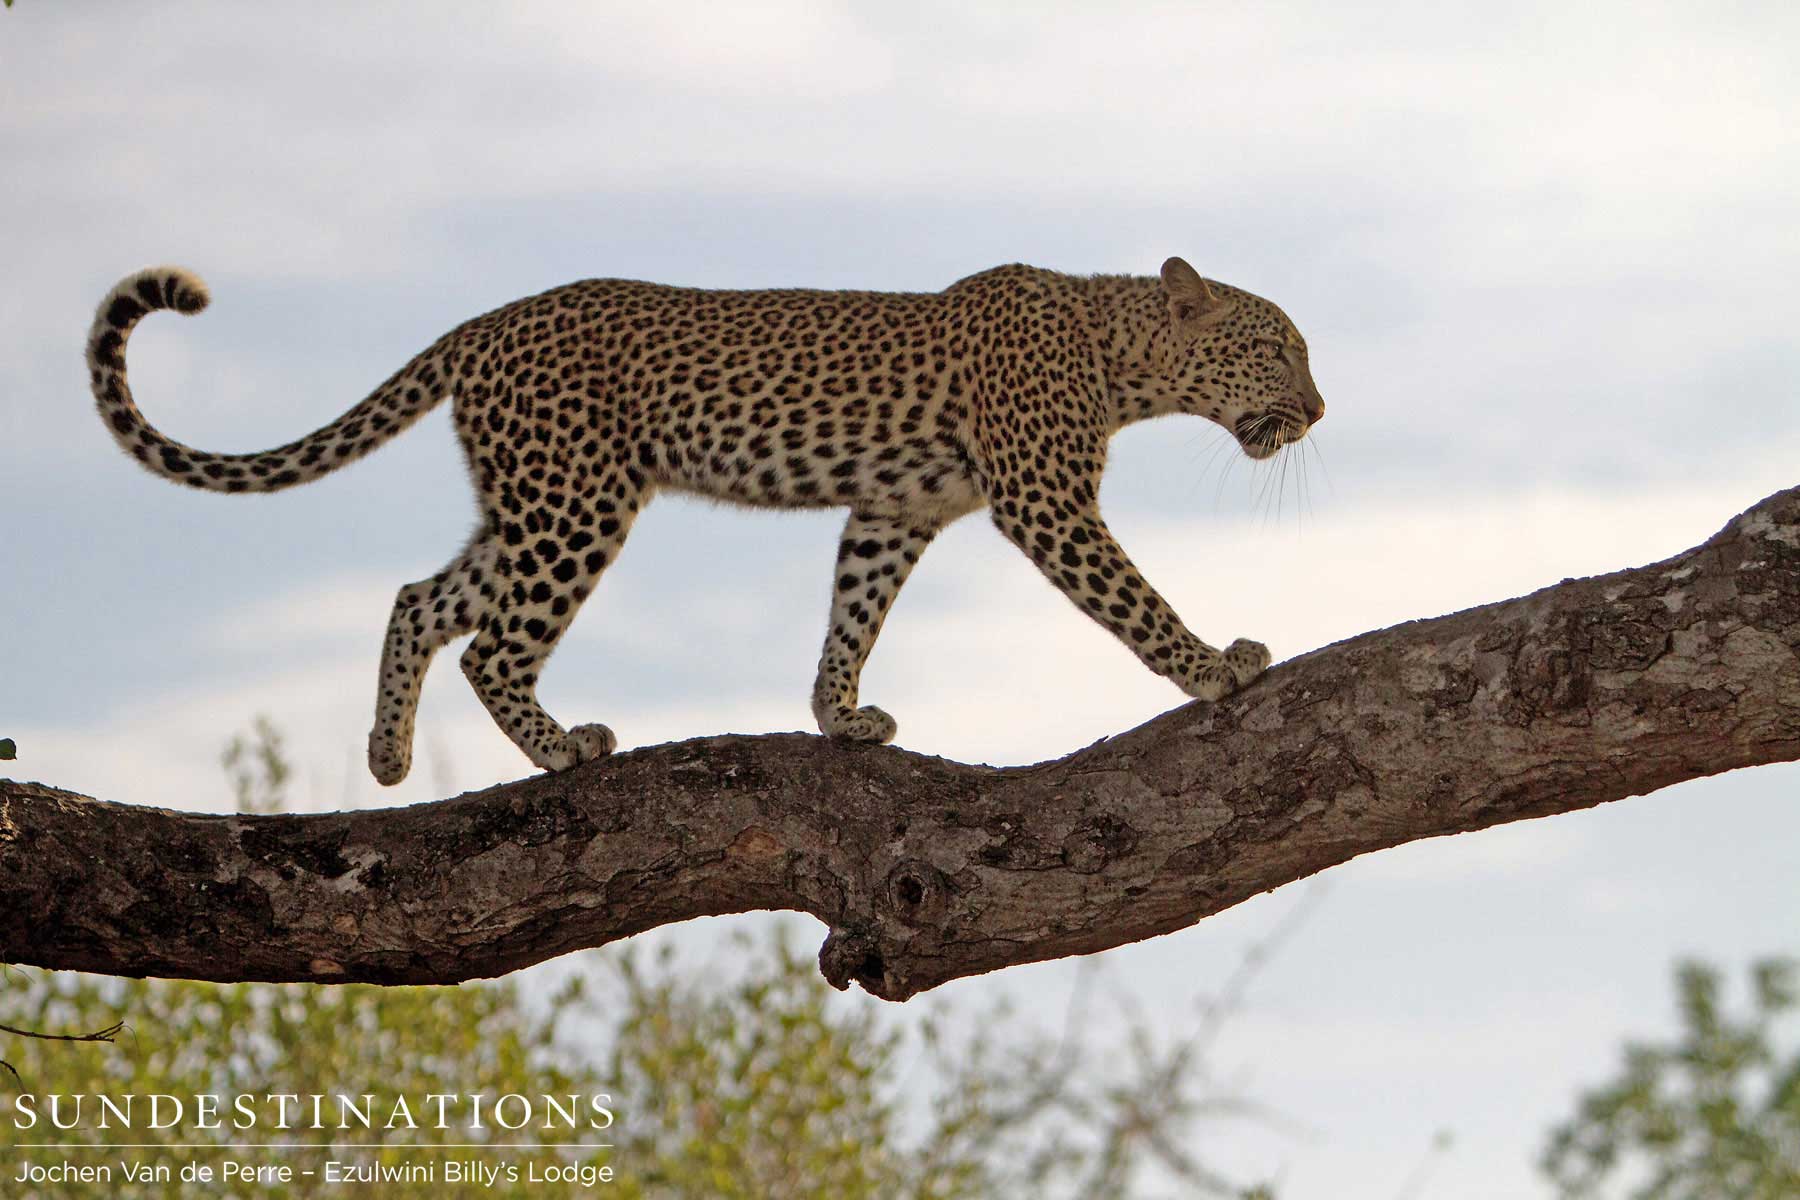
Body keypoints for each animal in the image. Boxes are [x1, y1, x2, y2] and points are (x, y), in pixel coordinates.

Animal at [87, 257, 1324, 784]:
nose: (1317, 410)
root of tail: (484, 322)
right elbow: (1135, 600)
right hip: (577, 502)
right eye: (1277, 347)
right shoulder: (1046, 499)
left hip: (529, 503)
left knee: (421, 600)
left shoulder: (897, 506)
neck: (1125, 359)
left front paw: (838, 716)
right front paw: (1216, 667)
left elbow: (854, 610)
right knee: (492, 645)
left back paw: (387, 754)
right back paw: (563, 748)